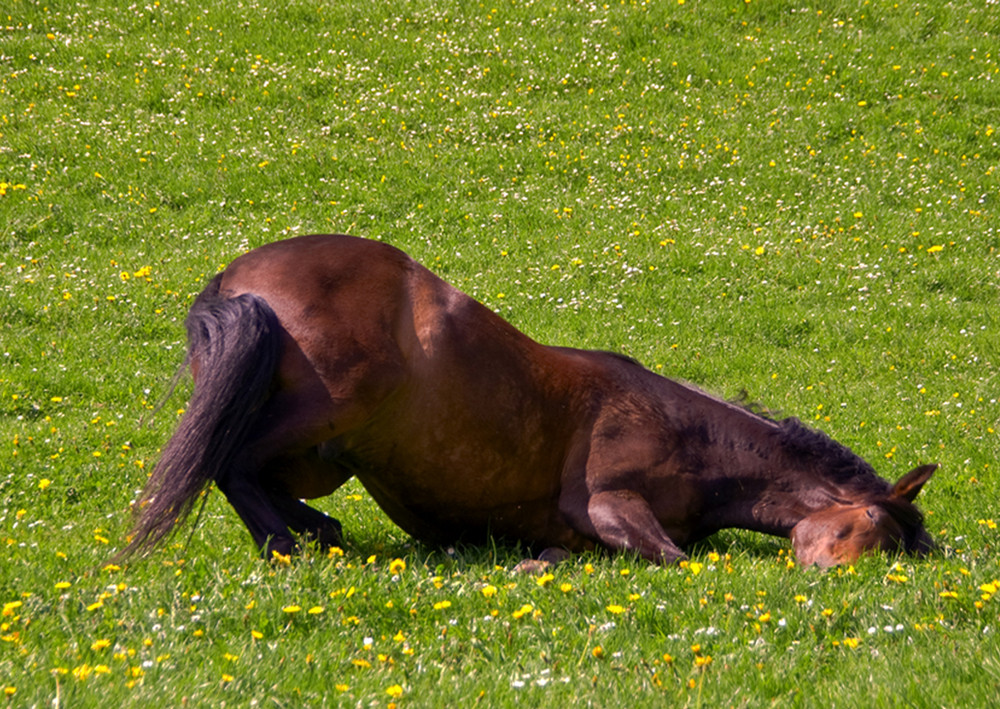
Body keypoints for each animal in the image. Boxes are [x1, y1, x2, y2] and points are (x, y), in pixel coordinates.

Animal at [119, 235, 936, 568]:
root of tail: (236, 280)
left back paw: (320, 534)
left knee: (258, 476)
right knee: (232, 465)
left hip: (326, 456)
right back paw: (296, 549)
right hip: (327, 413)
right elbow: (674, 560)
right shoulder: (608, 502)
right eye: (870, 522)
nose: (837, 580)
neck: (688, 437)